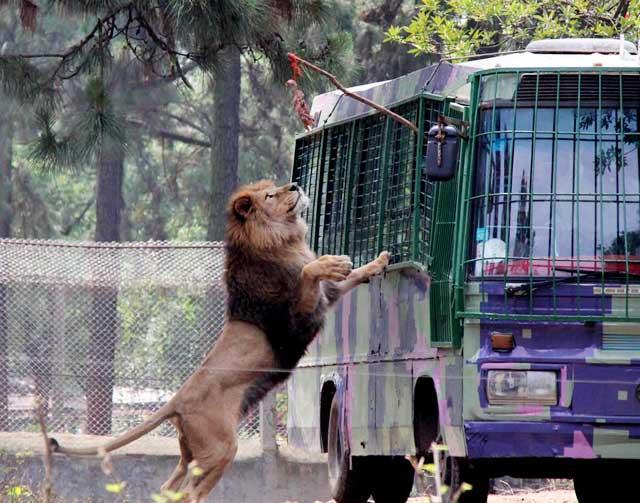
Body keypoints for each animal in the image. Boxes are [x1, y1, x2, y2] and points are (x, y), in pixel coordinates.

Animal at [51, 181, 390, 503]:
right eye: (270, 195)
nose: (295, 185)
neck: (280, 240)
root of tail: (177, 401)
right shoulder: (296, 323)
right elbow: (309, 270)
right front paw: (334, 261)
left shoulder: (325, 299)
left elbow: (355, 275)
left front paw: (379, 260)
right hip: (220, 447)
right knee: (190, 493)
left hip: (191, 453)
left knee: (168, 488)